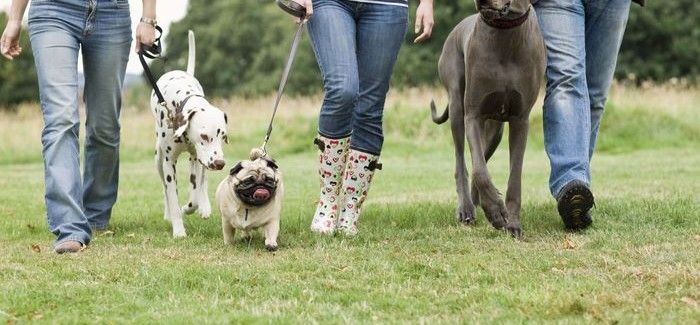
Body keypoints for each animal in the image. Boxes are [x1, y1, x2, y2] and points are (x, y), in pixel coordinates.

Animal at [150, 30, 230, 238]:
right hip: (158, 160)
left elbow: (194, 193)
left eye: (222, 136)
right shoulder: (169, 163)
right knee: (164, 189)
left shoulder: (196, 158)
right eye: (204, 136)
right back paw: (168, 214)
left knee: (203, 181)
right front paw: (178, 229)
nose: (220, 163)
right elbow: (172, 196)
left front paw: (191, 207)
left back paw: (205, 206)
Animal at [432, 0, 548, 238]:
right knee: (462, 162)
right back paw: (467, 208)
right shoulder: (473, 115)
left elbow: (514, 177)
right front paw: (496, 212)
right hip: (457, 105)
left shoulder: (520, 119)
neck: (505, 34)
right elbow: (479, 171)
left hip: (495, 131)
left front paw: (512, 223)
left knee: (481, 156)